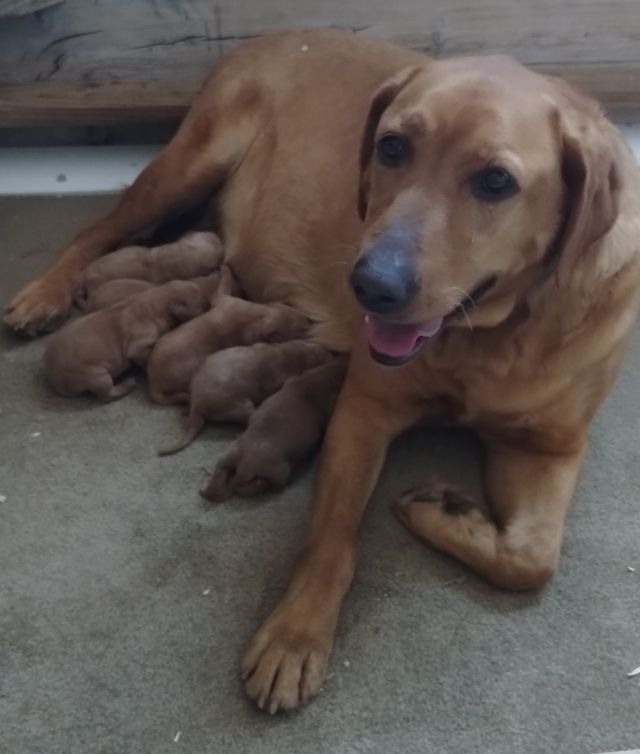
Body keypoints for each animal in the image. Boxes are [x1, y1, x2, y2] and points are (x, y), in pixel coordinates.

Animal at [45, 280, 209, 400]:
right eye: (201, 304)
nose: (209, 303)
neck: (157, 301)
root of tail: (53, 378)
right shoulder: (138, 348)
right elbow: (146, 358)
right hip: (95, 375)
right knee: (106, 395)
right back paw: (127, 385)